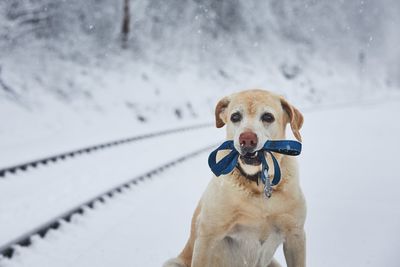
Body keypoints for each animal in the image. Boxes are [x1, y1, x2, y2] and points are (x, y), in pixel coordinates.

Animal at [162, 89, 306, 266]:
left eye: (268, 117)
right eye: (235, 117)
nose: (247, 139)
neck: (258, 184)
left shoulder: (296, 235)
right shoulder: (207, 236)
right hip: (173, 262)